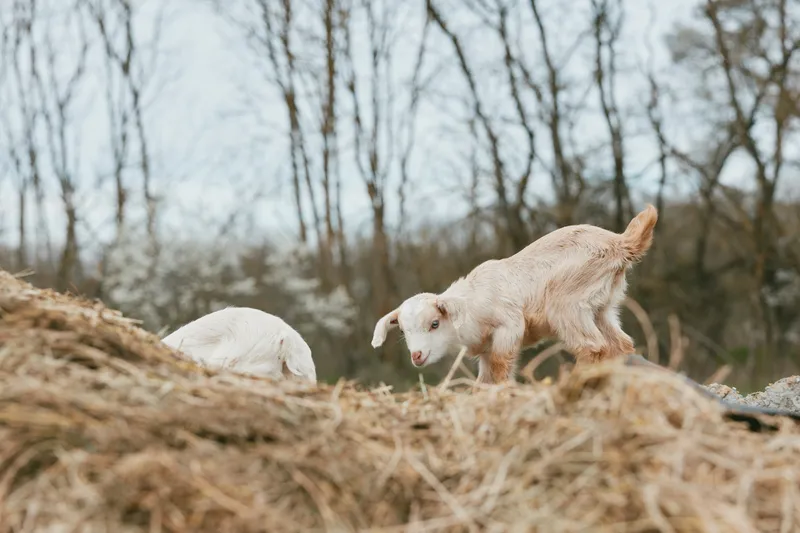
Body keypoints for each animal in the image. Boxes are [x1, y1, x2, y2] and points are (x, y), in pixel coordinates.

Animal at [371, 205, 658, 384]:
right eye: (403, 331)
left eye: (434, 323)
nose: (417, 356)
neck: (471, 304)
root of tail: (620, 244)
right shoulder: (485, 351)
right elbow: (484, 380)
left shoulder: (508, 327)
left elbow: (501, 367)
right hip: (603, 307)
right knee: (621, 345)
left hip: (568, 303)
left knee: (593, 347)